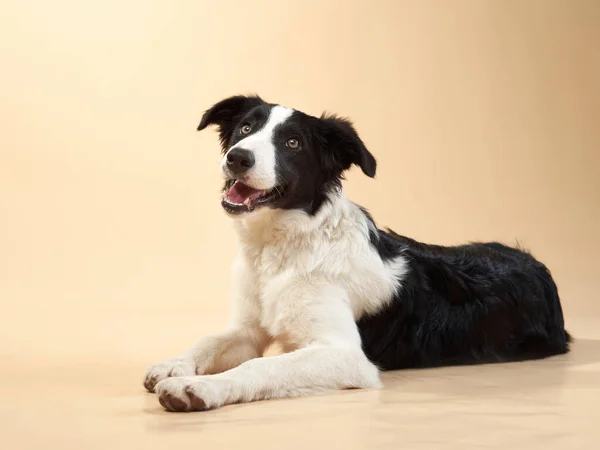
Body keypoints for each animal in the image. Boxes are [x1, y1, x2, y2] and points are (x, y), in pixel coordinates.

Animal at [143, 95, 568, 412]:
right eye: (246, 128)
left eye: (293, 143)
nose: (237, 156)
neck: (282, 248)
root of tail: (538, 264)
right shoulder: (248, 328)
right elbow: (209, 340)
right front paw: (174, 364)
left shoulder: (345, 355)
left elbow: (259, 366)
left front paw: (200, 388)